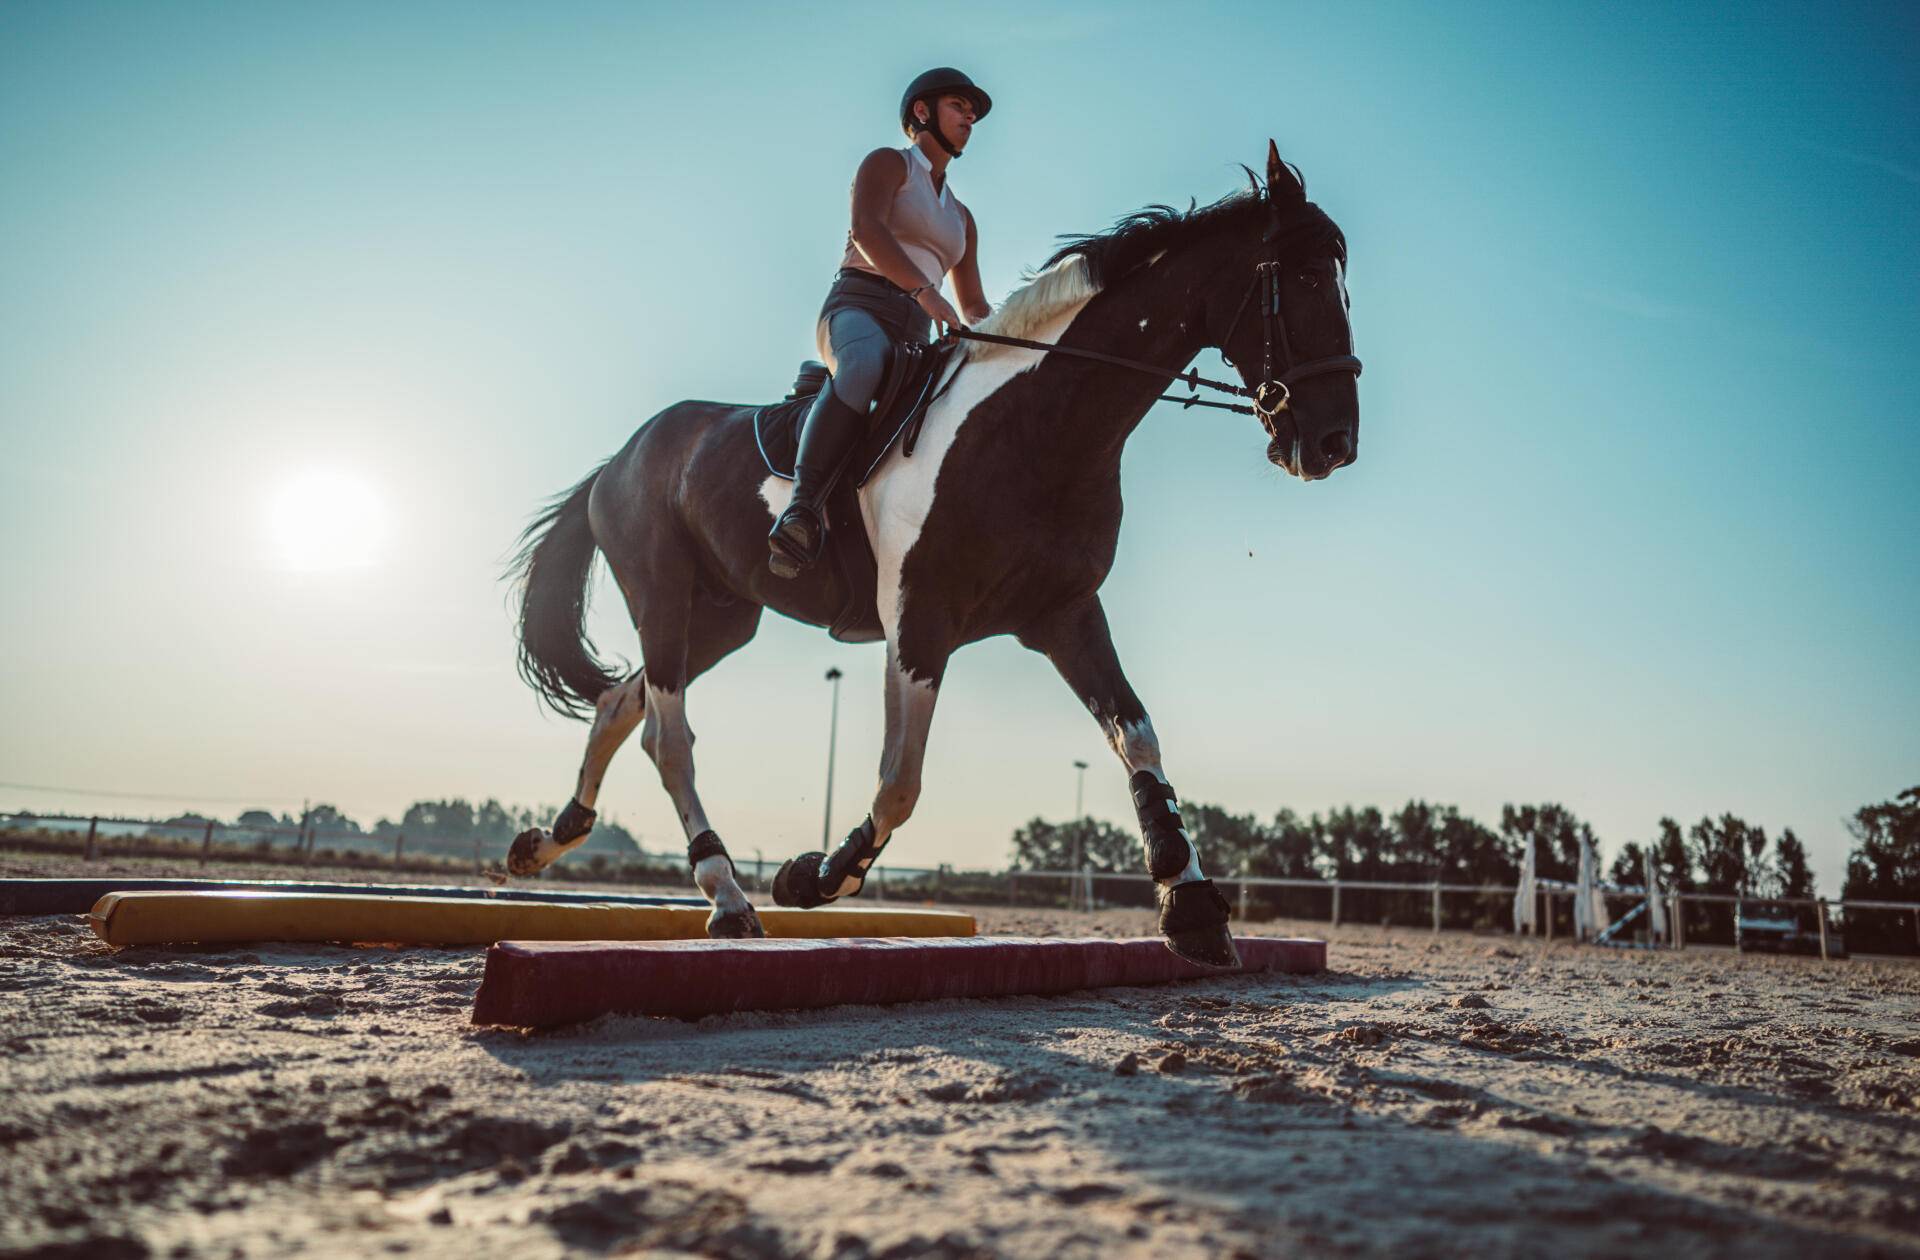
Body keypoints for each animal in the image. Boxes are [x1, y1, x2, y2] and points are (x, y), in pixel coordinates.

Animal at [503, 143, 1359, 968]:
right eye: (1308, 279)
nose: (1333, 444)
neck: (1039, 423)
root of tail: (621, 456)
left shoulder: (1064, 613)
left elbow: (1137, 737)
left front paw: (1192, 908)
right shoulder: (919, 621)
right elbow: (899, 785)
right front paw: (815, 876)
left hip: (720, 615)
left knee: (623, 706)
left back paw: (547, 841)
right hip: (662, 592)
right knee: (669, 737)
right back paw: (727, 896)